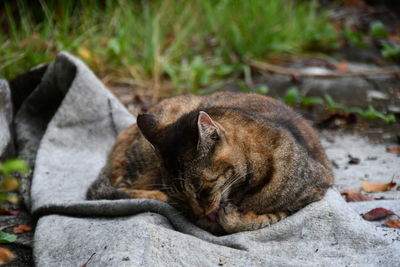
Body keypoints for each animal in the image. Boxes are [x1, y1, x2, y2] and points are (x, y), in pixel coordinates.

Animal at [87, 92, 334, 234]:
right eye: (180, 194)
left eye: (203, 188)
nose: (200, 212)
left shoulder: (312, 193)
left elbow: (270, 216)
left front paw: (233, 217)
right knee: (105, 189)